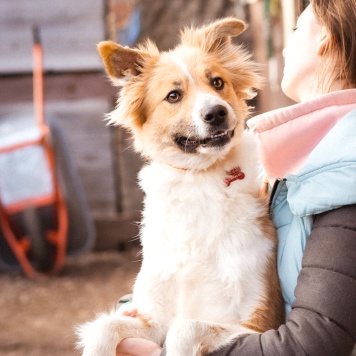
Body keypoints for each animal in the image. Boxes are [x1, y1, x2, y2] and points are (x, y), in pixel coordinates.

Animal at [77, 17, 284, 356]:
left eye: (217, 82)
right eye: (173, 96)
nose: (216, 113)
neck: (198, 179)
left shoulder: (258, 323)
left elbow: (184, 329)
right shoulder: (152, 319)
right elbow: (104, 327)